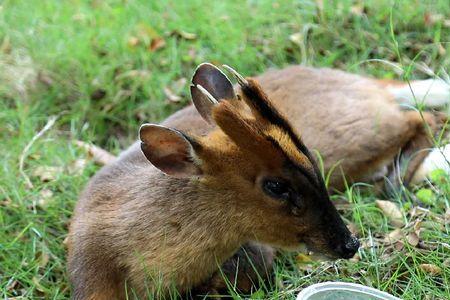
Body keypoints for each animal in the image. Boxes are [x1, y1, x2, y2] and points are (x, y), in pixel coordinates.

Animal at [67, 62, 450, 298]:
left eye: (309, 162)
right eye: (276, 186)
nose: (349, 244)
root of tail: (361, 80)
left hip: (354, 135)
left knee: (422, 115)